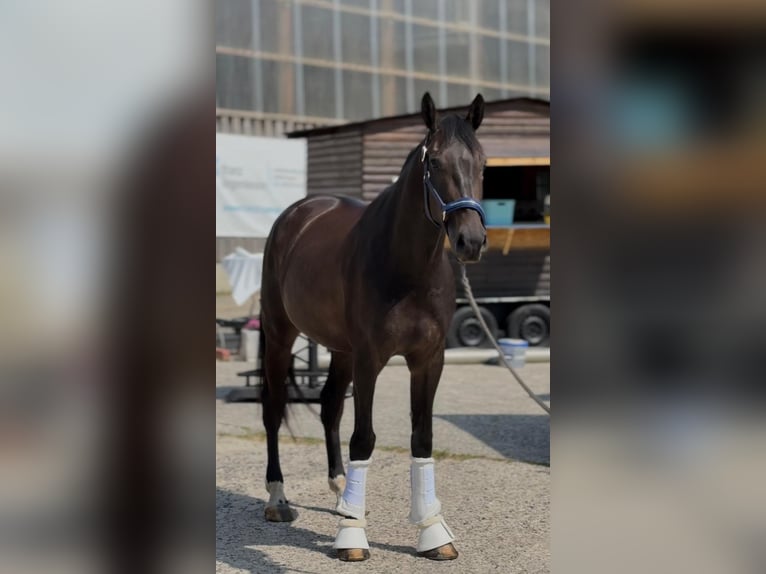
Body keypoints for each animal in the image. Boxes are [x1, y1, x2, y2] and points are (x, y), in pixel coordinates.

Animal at [259, 92, 487, 561]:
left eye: (482, 162)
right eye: (435, 162)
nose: (470, 242)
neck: (406, 268)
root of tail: (299, 212)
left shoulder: (428, 360)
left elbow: (422, 437)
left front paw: (433, 534)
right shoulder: (370, 359)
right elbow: (363, 438)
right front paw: (352, 538)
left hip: (340, 350)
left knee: (330, 405)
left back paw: (343, 492)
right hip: (280, 335)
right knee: (273, 409)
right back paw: (278, 499)